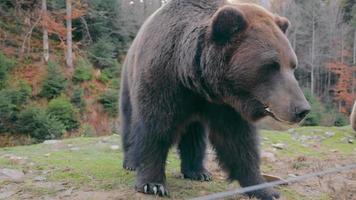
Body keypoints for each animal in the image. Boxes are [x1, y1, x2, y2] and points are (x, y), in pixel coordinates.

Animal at [119, 0, 308, 199]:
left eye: (292, 65)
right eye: (271, 65)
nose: (302, 109)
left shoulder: (225, 104)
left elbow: (237, 141)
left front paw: (264, 189)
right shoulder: (163, 80)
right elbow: (156, 126)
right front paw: (153, 184)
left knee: (195, 134)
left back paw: (198, 171)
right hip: (129, 81)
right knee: (130, 120)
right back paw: (131, 162)